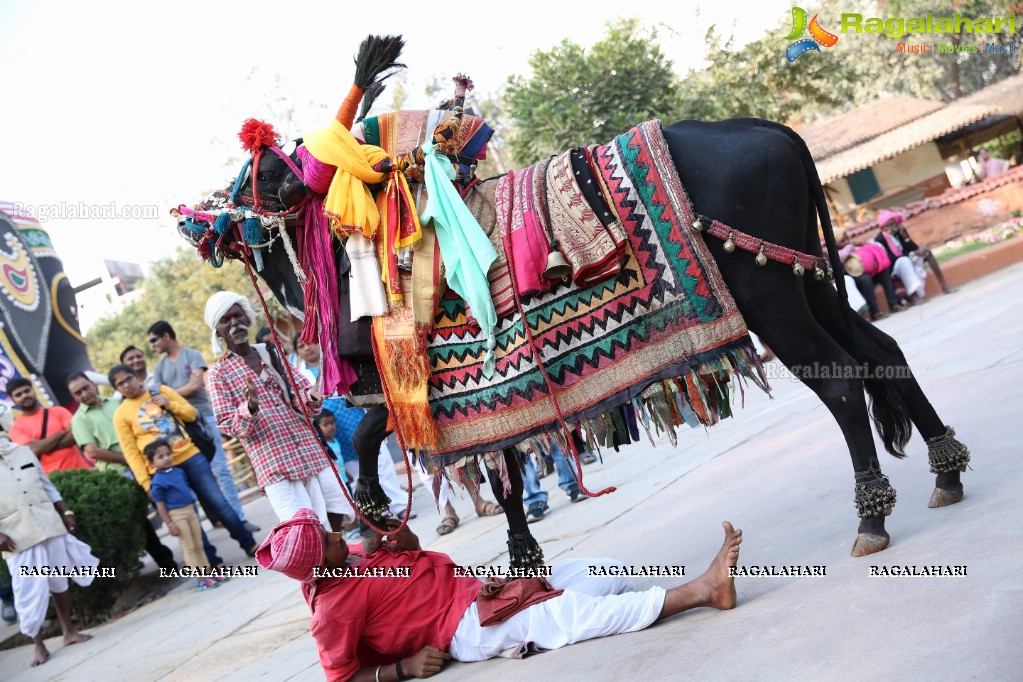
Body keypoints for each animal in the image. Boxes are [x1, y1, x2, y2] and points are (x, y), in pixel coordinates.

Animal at [173, 36, 965, 572]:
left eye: (255, 173)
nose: (192, 219)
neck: (355, 236)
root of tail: (768, 128)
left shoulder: (417, 383)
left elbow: (387, 440)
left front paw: (373, 511)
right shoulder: (463, 388)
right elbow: (489, 460)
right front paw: (514, 552)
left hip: (772, 295)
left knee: (842, 381)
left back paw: (871, 517)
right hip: (804, 277)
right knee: (881, 352)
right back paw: (946, 470)